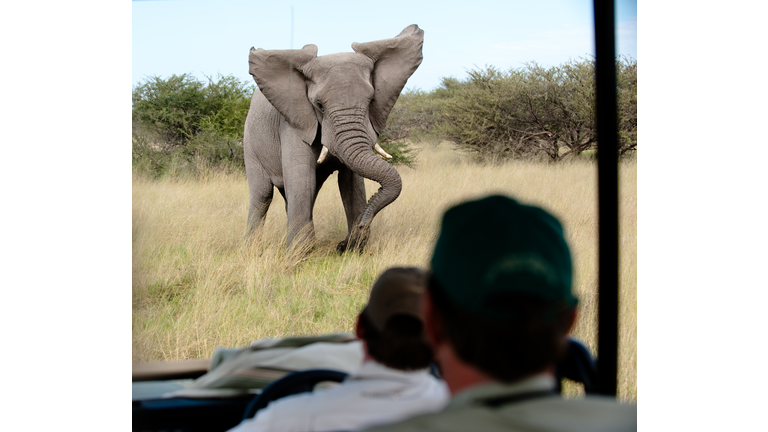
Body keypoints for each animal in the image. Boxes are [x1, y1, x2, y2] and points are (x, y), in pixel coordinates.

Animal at [244, 23, 424, 251]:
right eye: (319, 105)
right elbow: (302, 181)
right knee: (263, 194)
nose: (363, 224)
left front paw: (352, 248)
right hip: (250, 143)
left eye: (371, 100)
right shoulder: (295, 122)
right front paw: (298, 256)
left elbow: (351, 184)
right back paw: (252, 249)